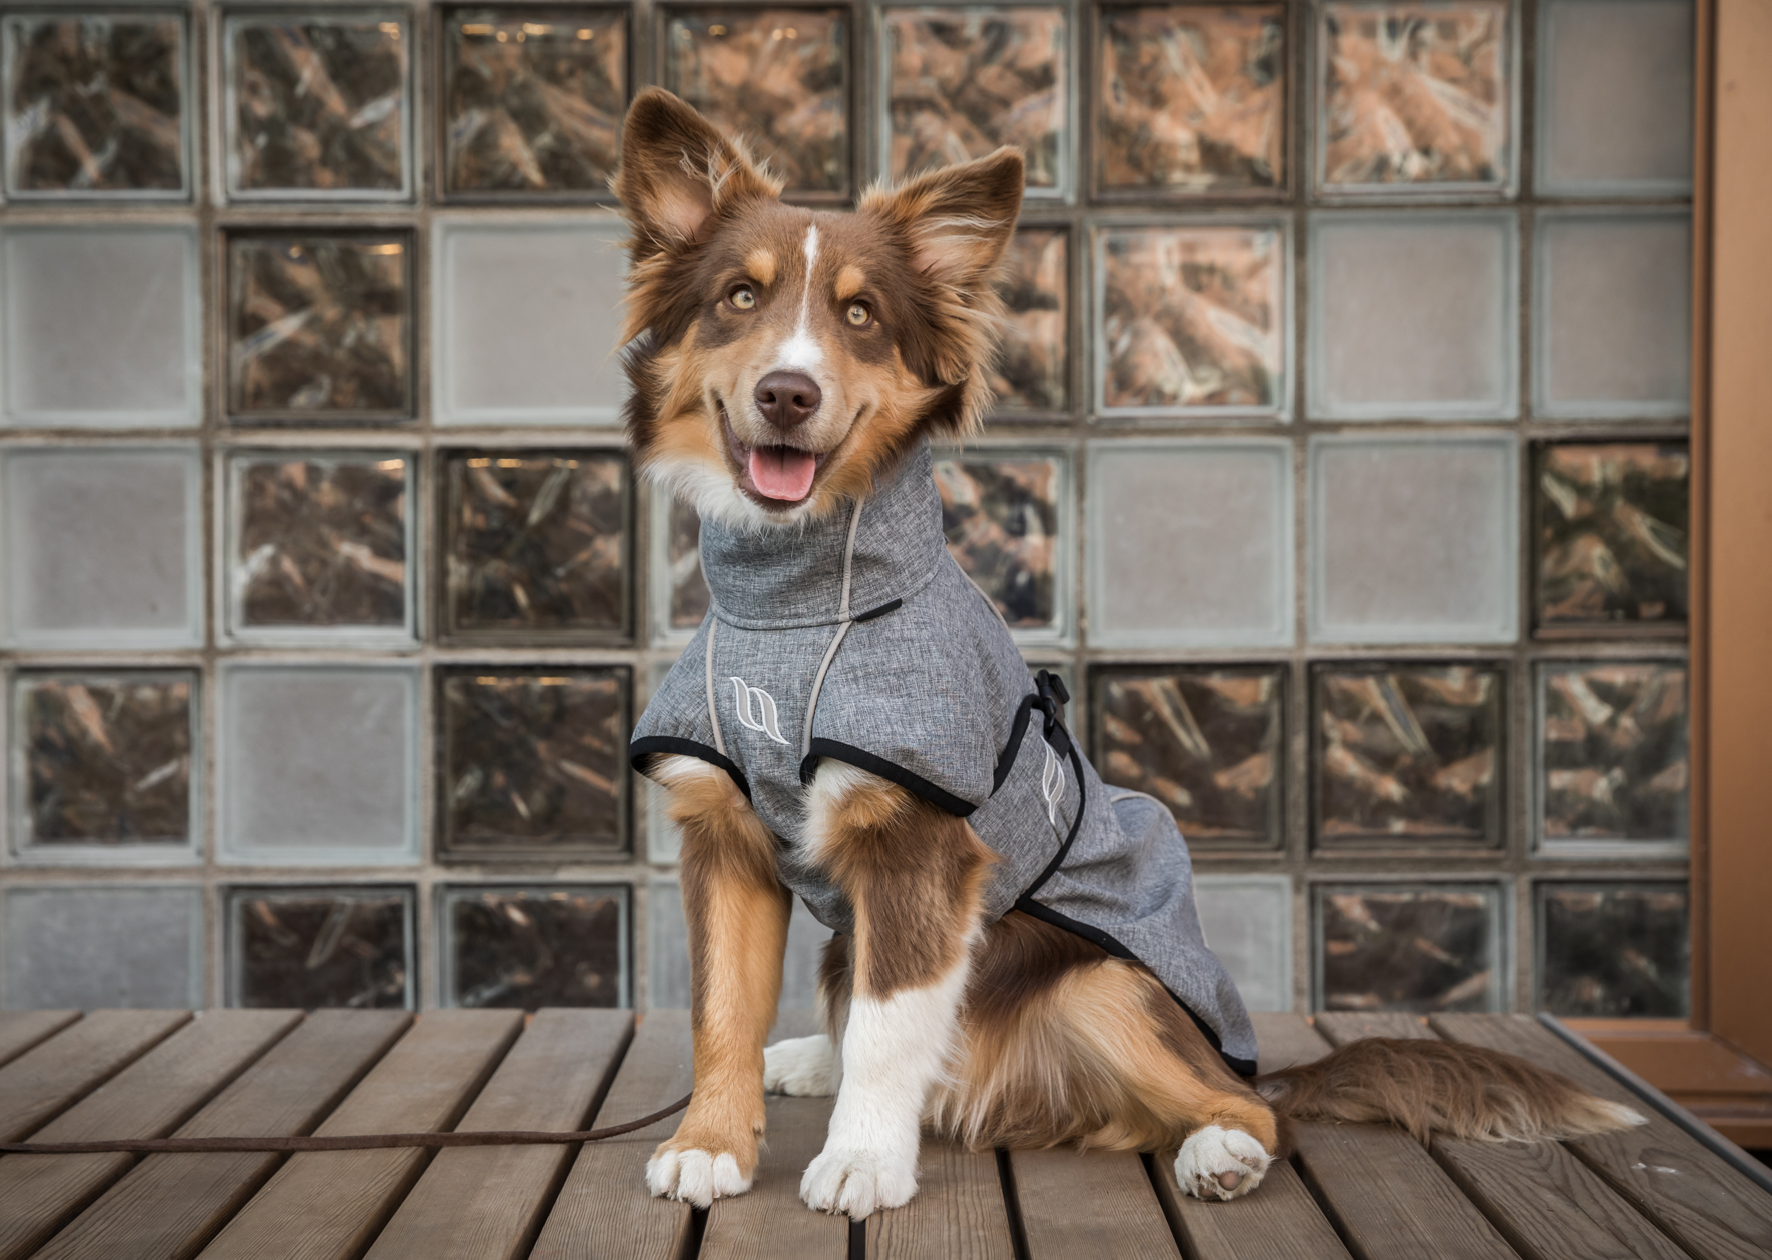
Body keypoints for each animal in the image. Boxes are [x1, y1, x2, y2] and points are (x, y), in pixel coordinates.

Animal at [613, 88, 1644, 1219]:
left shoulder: (918, 839)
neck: (791, 612)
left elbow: (891, 1025)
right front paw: (710, 1141)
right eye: (738, 298)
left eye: (860, 316)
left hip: (1102, 983)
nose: (787, 395)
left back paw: (1217, 1150)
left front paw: (863, 1160)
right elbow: (719, 1007)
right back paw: (809, 1058)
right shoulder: (725, 834)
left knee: (1247, 1107)